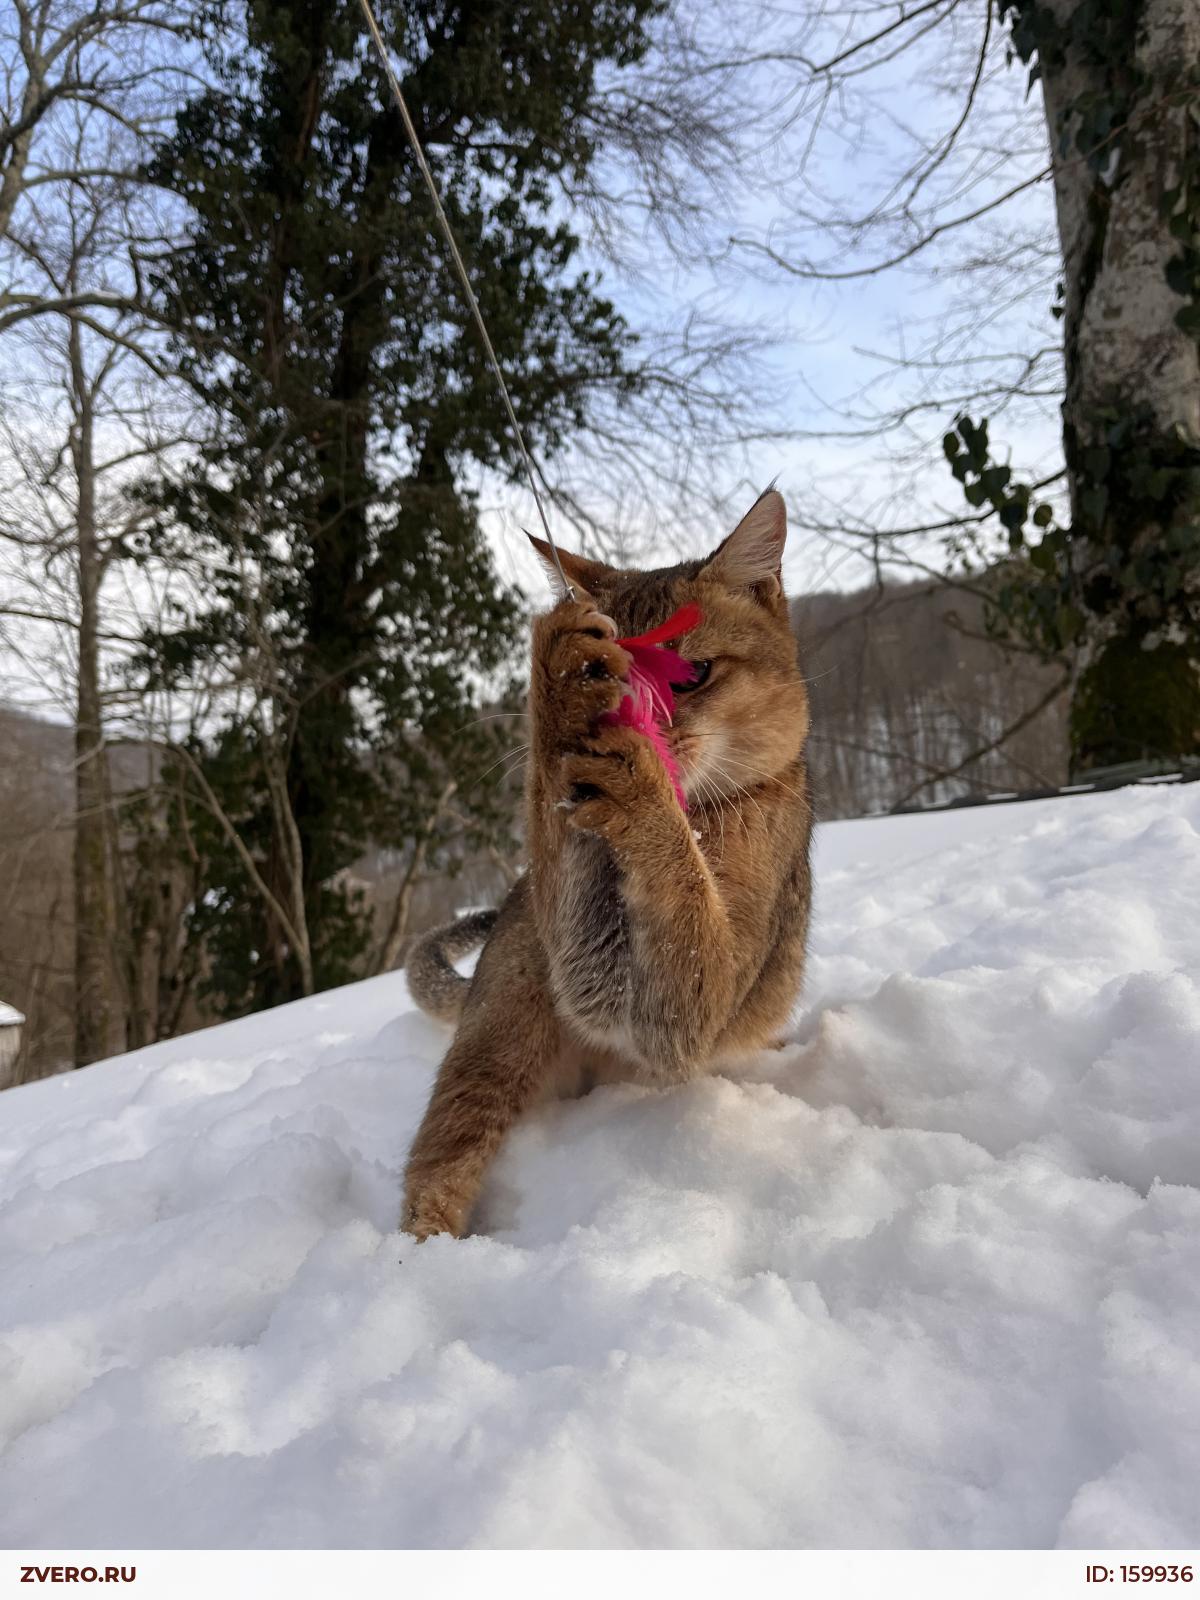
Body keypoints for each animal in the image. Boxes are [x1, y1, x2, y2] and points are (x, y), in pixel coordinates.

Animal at [402, 488, 813, 1239]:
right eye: (607, 670)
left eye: (692, 673)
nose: (629, 717)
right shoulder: (588, 972)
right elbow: (549, 811)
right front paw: (556, 680)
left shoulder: (692, 1011)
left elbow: (682, 886)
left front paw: (639, 782)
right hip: (501, 1036)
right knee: (433, 1173)